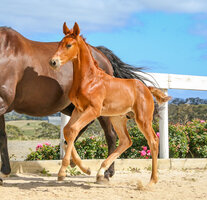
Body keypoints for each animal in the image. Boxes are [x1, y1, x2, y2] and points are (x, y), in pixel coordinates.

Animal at [50, 22, 171, 187]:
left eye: (68, 45)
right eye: (59, 44)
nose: (53, 62)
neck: (89, 79)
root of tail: (147, 88)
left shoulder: (93, 110)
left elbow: (73, 130)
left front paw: (63, 172)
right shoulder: (79, 110)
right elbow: (68, 131)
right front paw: (84, 168)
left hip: (143, 119)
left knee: (153, 141)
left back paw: (152, 180)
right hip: (117, 118)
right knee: (126, 141)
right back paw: (101, 172)